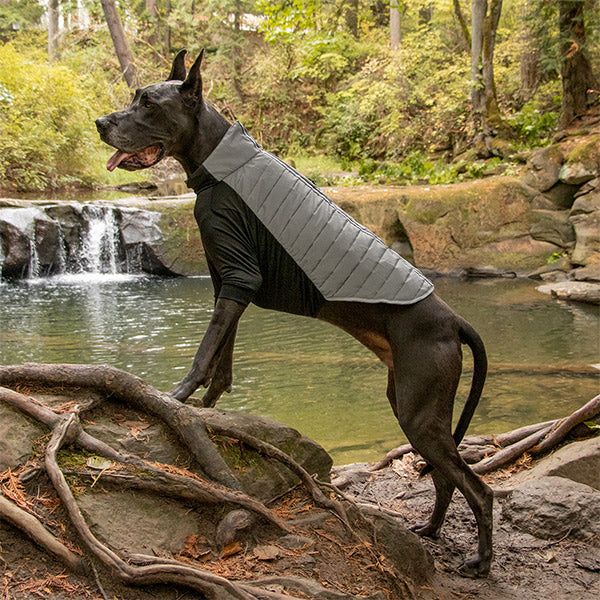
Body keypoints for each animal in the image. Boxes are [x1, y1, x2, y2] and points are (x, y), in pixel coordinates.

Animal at [97, 50, 492, 576]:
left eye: (147, 103)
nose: (100, 123)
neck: (218, 160)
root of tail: (453, 319)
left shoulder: (238, 276)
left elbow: (205, 352)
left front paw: (177, 397)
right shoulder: (229, 279)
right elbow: (223, 360)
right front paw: (208, 407)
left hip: (419, 411)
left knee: (478, 489)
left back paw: (482, 561)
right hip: (416, 405)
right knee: (449, 478)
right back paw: (428, 531)